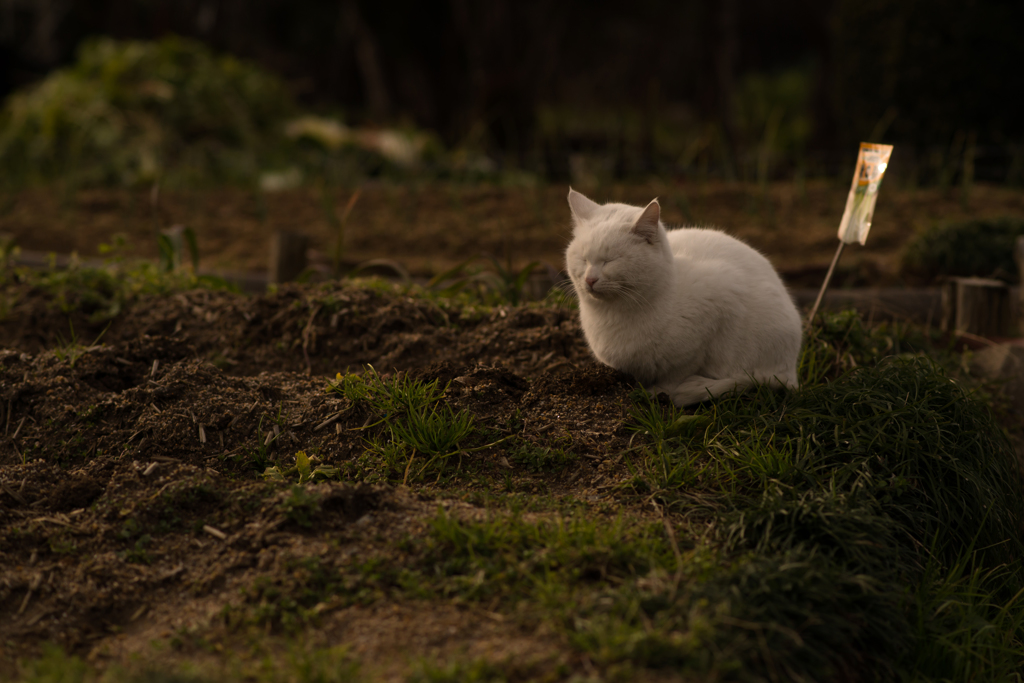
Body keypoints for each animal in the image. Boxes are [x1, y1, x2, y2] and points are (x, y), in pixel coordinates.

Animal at [569, 188, 798, 405]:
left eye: (610, 260)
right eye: (583, 259)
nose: (590, 279)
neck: (611, 315)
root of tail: (793, 373)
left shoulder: (719, 301)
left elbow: (676, 375)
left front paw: (659, 392)